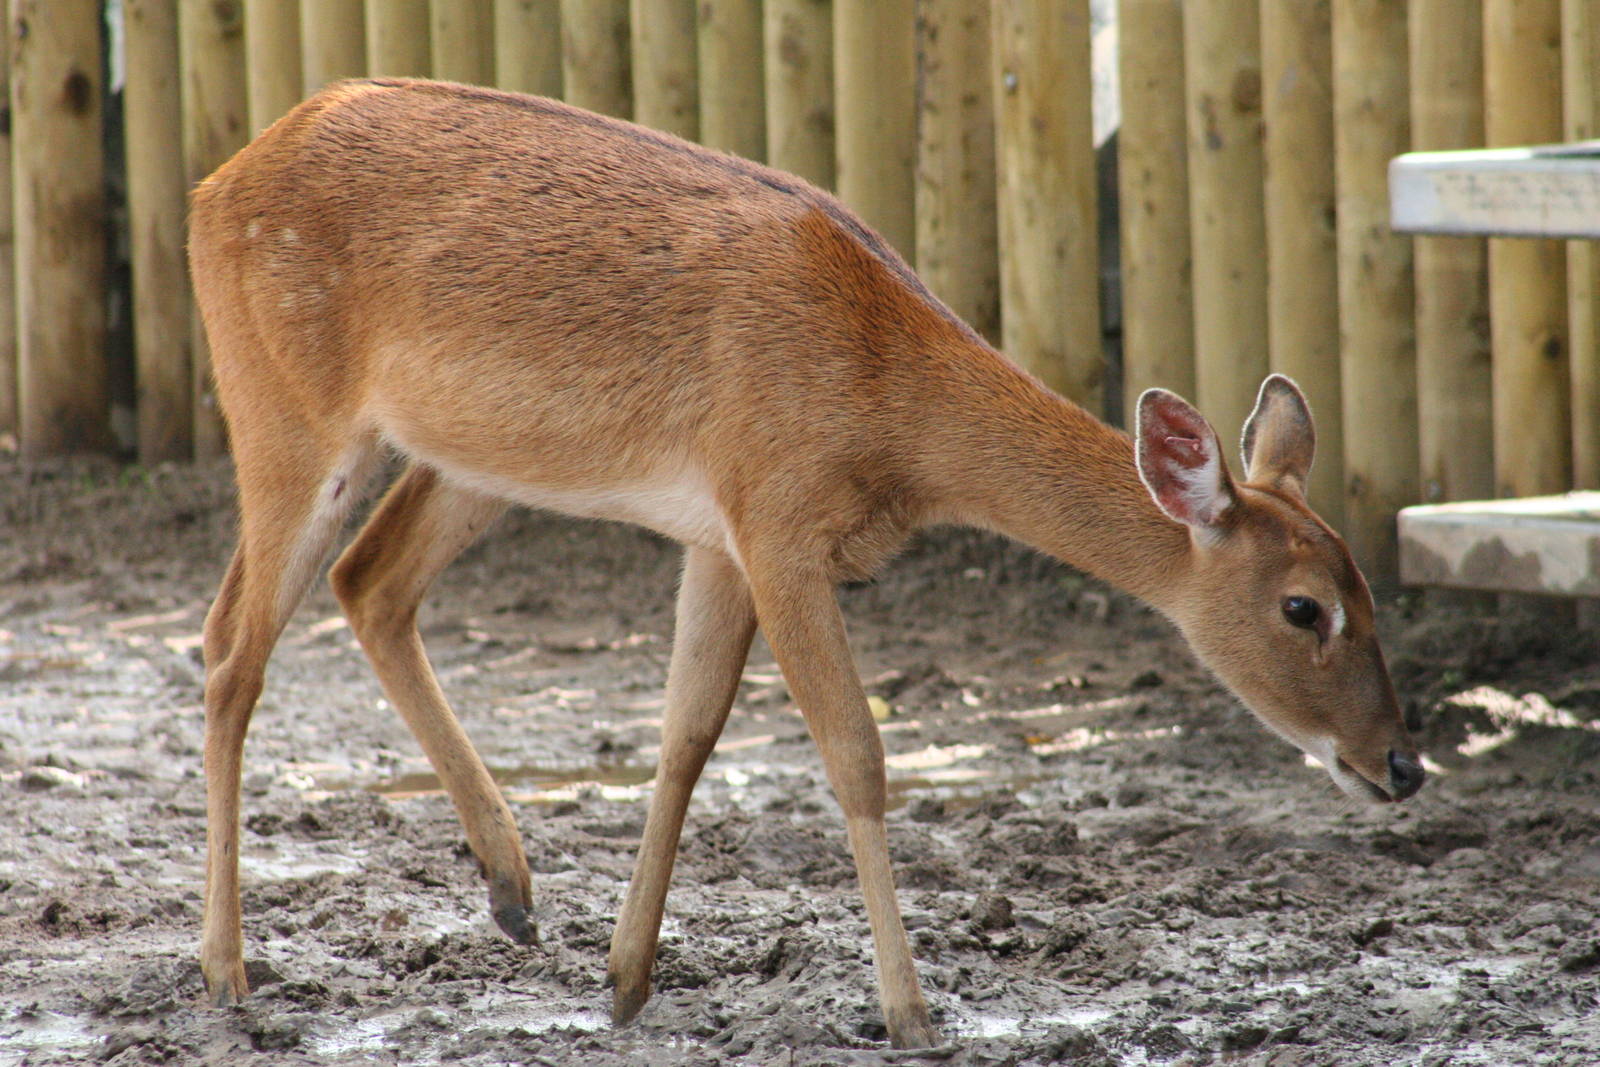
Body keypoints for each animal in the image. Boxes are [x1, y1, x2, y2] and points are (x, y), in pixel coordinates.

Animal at [187, 78, 1425, 1049]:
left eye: (1372, 590)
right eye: (1303, 606)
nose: (1401, 762)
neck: (891, 419)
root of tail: (211, 187)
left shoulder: (719, 532)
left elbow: (686, 733)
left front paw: (623, 977)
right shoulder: (778, 522)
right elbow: (857, 754)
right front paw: (913, 1013)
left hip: (474, 454)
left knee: (368, 582)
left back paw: (512, 890)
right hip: (283, 408)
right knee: (230, 644)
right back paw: (228, 968)